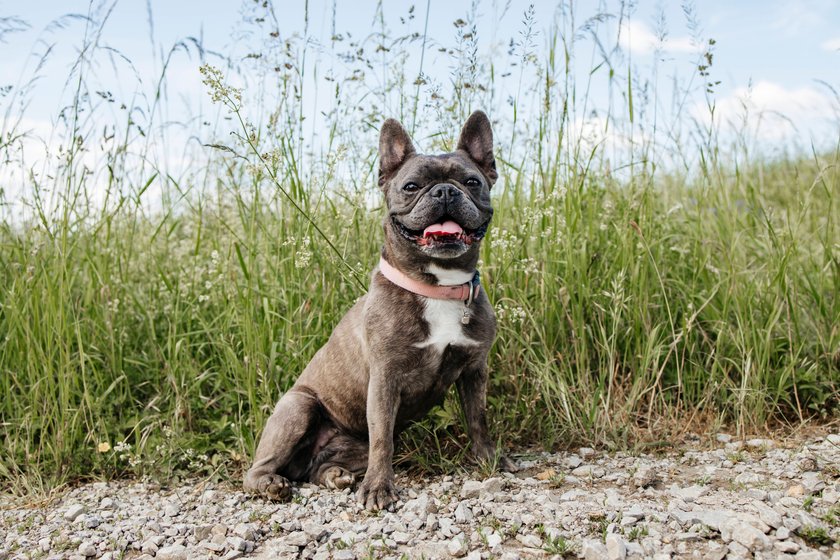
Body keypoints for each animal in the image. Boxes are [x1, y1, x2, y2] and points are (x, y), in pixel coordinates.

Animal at [243, 111, 512, 510]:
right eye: (411, 186)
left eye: (472, 182)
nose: (445, 191)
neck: (438, 287)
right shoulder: (385, 379)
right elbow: (382, 437)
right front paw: (378, 488)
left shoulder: (474, 370)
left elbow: (478, 418)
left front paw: (488, 459)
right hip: (297, 407)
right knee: (259, 470)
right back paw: (272, 483)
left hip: (346, 445)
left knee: (318, 467)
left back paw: (334, 475)